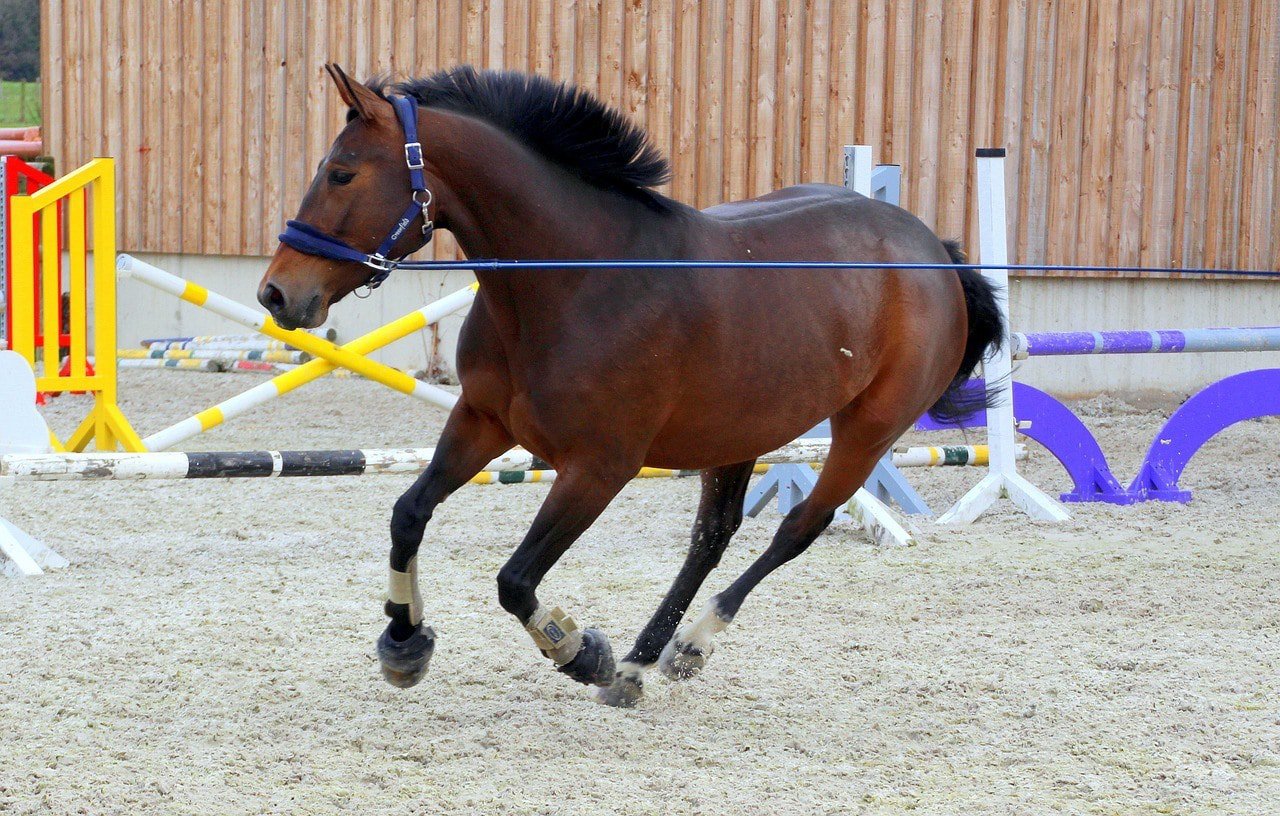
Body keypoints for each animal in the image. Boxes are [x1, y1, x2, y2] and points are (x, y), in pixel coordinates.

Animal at [258, 63, 1002, 708]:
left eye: (342, 173)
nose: (277, 294)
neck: (576, 280)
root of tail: (933, 251)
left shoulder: (598, 467)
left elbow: (514, 580)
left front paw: (578, 651)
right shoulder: (481, 420)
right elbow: (408, 514)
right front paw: (404, 641)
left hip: (867, 430)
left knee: (798, 526)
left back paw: (689, 646)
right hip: (737, 430)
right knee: (713, 535)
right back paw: (643, 662)